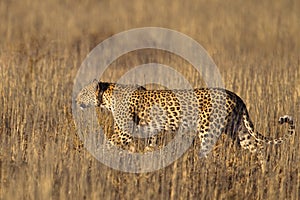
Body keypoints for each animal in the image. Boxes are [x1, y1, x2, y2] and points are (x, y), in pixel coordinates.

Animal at [75, 79, 296, 172]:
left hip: (208, 130)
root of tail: (235, 95)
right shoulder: (149, 131)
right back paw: (264, 171)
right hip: (238, 130)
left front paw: (91, 160)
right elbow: (147, 149)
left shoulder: (124, 132)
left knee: (207, 154)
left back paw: (200, 171)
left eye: (83, 93)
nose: (75, 101)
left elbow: (107, 145)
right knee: (257, 146)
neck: (107, 98)